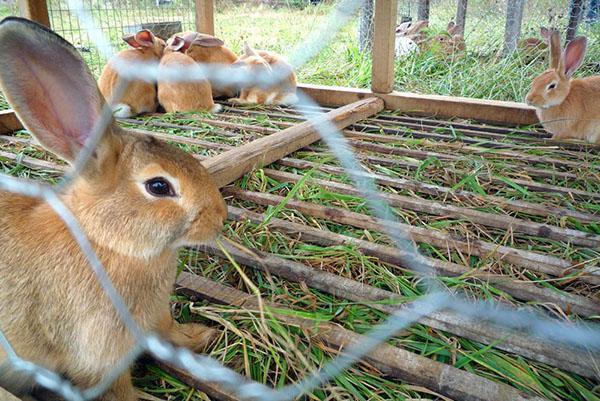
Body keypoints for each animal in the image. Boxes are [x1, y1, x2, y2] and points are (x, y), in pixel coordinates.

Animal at [0, 16, 227, 400]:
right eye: (158, 186)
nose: (220, 217)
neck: (106, 242)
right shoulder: (99, 361)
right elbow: (118, 390)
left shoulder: (156, 317)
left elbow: (170, 331)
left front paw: (201, 336)